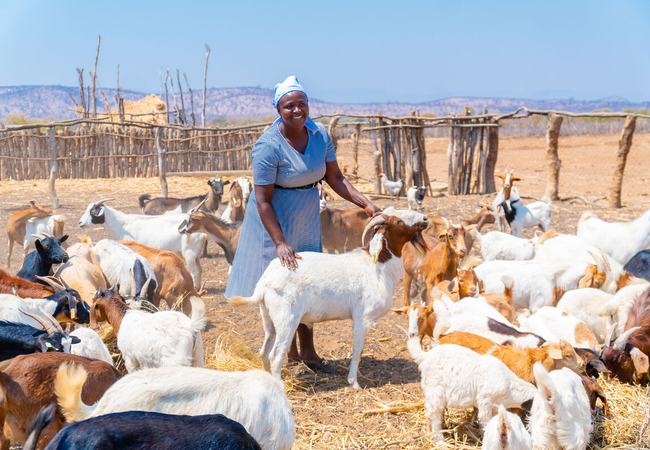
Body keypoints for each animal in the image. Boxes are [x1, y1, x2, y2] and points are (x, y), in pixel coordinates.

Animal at [230, 213, 428, 388]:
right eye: (399, 221)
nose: (425, 219)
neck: (378, 265)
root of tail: (264, 283)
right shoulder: (362, 318)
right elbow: (357, 350)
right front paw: (354, 383)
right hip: (287, 319)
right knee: (275, 355)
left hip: (268, 319)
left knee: (264, 351)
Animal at [406, 306, 536, 443]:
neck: (510, 387)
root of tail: (426, 355)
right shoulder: (485, 401)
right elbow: (485, 422)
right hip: (435, 392)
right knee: (434, 415)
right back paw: (440, 441)